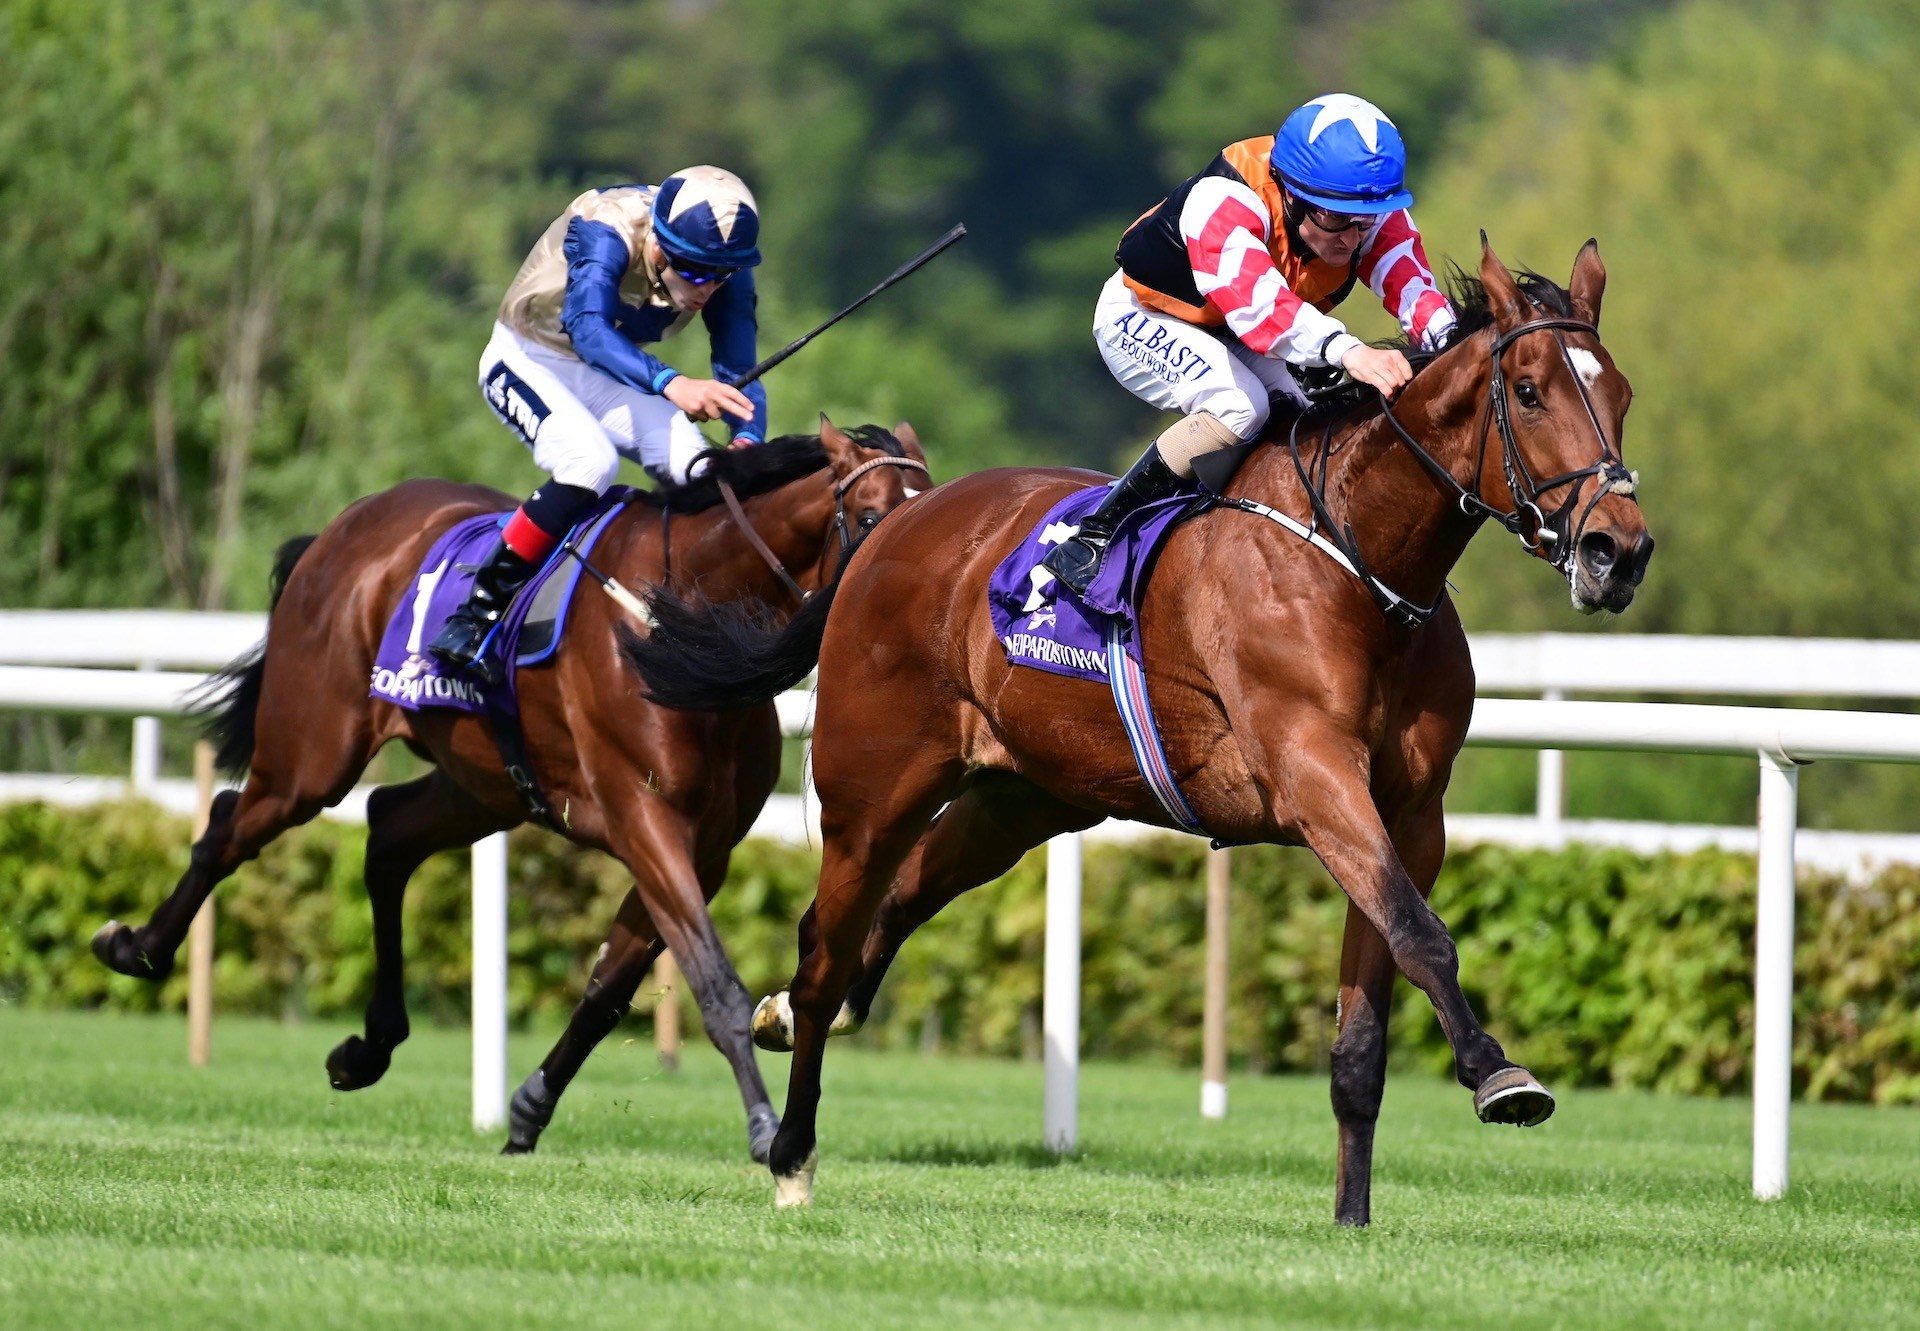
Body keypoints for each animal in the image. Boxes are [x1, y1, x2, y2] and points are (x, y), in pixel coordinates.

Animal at [91, 420, 929, 1160]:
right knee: (228, 826)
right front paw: (764, 1126)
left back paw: (368, 1046)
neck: (684, 619)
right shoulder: (645, 820)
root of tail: (340, 529)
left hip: (482, 783)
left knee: (387, 829)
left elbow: (609, 986)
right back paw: (136, 945)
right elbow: (714, 983)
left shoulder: (706, 846)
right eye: (869, 516)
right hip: (311, 754)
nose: (896, 607)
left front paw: (527, 1111)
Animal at [625, 243, 1651, 1221]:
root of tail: (893, 526)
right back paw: (791, 1148)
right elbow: (1425, 935)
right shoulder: (1316, 777)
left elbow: (1372, 1011)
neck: (1361, 560)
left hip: (1019, 800)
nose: (1620, 550)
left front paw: (1353, 1220)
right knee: (824, 950)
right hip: (872, 787)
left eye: (1621, 394)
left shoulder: (1410, 813)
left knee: (899, 902)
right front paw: (1499, 1072)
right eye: (1530, 391)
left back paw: (793, 1023)